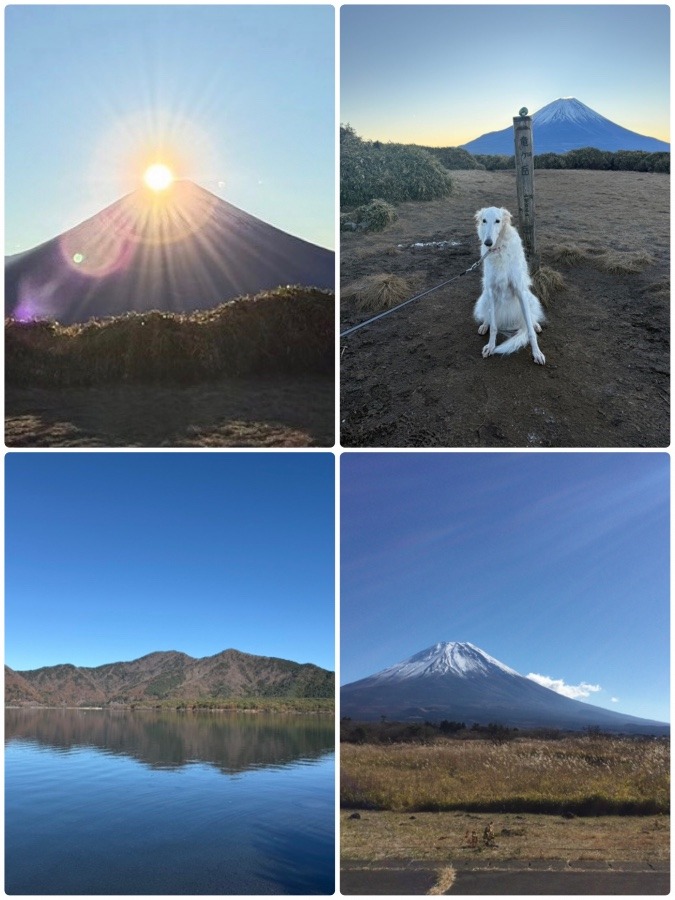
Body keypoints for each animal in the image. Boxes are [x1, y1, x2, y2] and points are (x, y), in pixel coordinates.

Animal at [472, 207, 548, 366]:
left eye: (498, 221)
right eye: (484, 220)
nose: (488, 242)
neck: (498, 249)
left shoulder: (520, 291)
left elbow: (530, 331)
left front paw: (537, 353)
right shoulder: (491, 291)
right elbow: (494, 328)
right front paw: (490, 346)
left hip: (529, 297)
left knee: (531, 318)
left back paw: (536, 324)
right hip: (485, 297)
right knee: (488, 317)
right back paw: (484, 325)